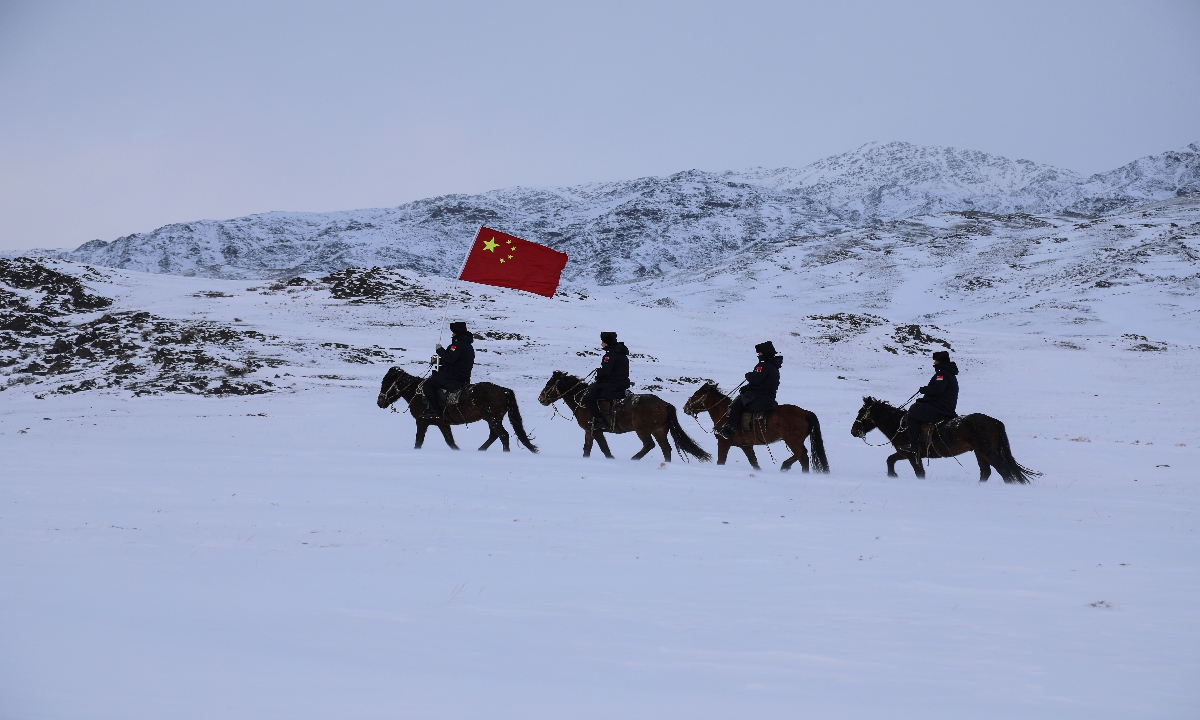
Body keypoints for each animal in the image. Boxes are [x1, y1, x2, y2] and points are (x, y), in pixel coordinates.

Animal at [374, 369, 535, 453]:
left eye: (386, 383)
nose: (380, 402)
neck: (417, 393)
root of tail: (502, 390)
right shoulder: (442, 424)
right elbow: (450, 442)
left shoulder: (421, 422)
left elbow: (419, 441)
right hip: (492, 419)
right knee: (494, 435)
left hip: (493, 419)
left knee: (503, 435)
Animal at [537, 372, 710, 460]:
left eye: (549, 383)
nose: (541, 399)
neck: (582, 399)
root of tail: (664, 404)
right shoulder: (589, 431)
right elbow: (587, 449)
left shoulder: (596, 431)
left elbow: (605, 449)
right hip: (659, 430)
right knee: (666, 449)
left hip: (643, 430)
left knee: (649, 445)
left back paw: (634, 459)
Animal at [681, 381, 830, 472]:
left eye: (696, 394)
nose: (685, 408)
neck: (724, 413)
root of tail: (805, 412)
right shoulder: (746, 446)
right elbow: (754, 463)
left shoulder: (724, 442)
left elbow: (721, 461)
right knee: (801, 454)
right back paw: (785, 465)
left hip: (792, 441)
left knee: (803, 457)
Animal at [849, 396, 1036, 480]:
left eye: (861, 412)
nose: (853, 431)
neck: (900, 425)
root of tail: (995, 422)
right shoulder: (905, 454)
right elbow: (890, 460)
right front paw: (892, 475)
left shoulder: (912, 455)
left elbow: (920, 473)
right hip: (980, 453)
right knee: (986, 472)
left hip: (989, 453)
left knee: (1004, 472)